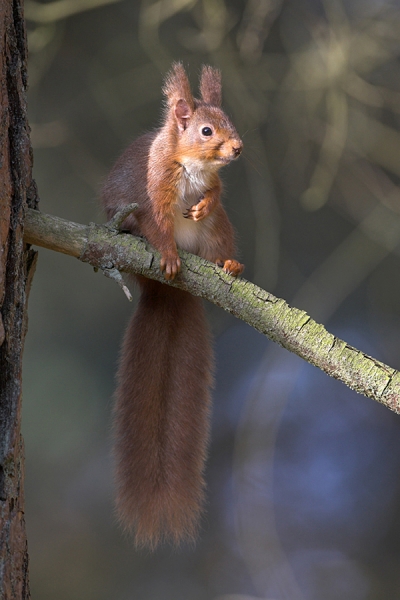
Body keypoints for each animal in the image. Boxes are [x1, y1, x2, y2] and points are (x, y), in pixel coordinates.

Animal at [101, 62, 242, 548]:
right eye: (206, 130)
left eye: (229, 120)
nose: (237, 147)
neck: (194, 166)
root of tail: (171, 293)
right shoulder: (154, 189)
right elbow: (157, 223)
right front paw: (165, 251)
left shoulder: (213, 186)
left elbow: (214, 194)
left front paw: (202, 203)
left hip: (218, 231)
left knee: (218, 237)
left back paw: (229, 263)